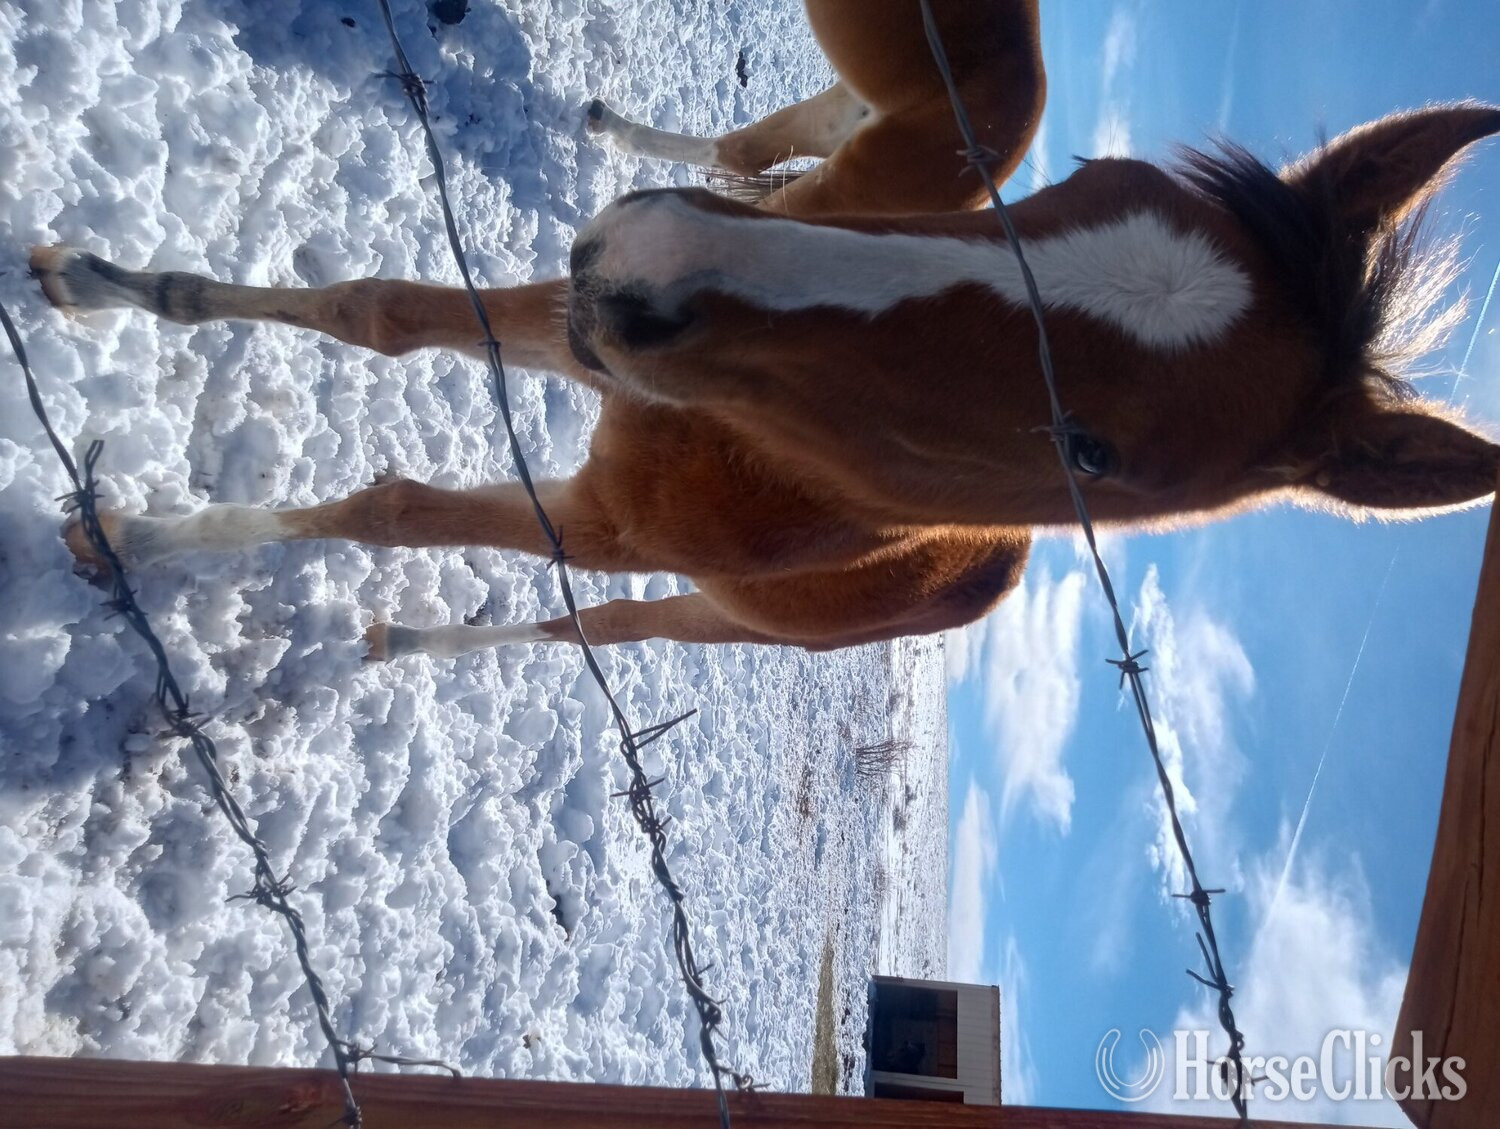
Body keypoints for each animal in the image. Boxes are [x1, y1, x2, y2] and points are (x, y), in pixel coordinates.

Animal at [31, 0, 1500, 666]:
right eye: (1076, 188)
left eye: (1097, 450)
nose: (648, 262)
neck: (755, 458)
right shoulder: (585, 339)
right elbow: (374, 311)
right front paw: (93, 280)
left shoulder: (598, 516)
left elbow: (387, 509)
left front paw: (130, 538)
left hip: (707, 617)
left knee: (594, 634)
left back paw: (411, 644)